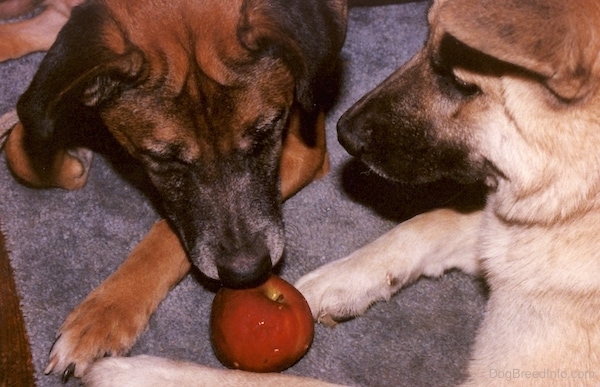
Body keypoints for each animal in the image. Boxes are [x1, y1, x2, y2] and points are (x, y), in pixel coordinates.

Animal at [1, 0, 346, 382]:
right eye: (164, 158)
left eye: (266, 132)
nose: (247, 273)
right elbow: (24, 137)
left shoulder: (304, 149)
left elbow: (164, 236)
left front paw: (105, 312)